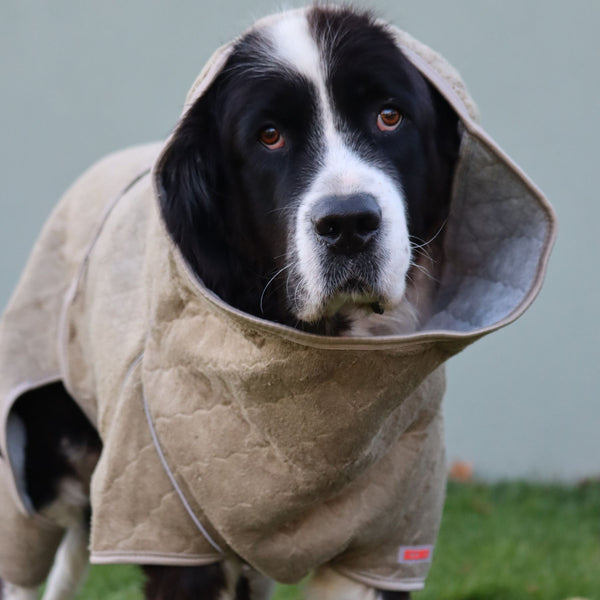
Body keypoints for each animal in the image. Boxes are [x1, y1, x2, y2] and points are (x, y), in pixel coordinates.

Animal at [0, 4, 462, 600]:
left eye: (389, 116)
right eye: (269, 136)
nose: (349, 224)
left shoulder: (386, 542)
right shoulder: (172, 533)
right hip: (37, 462)